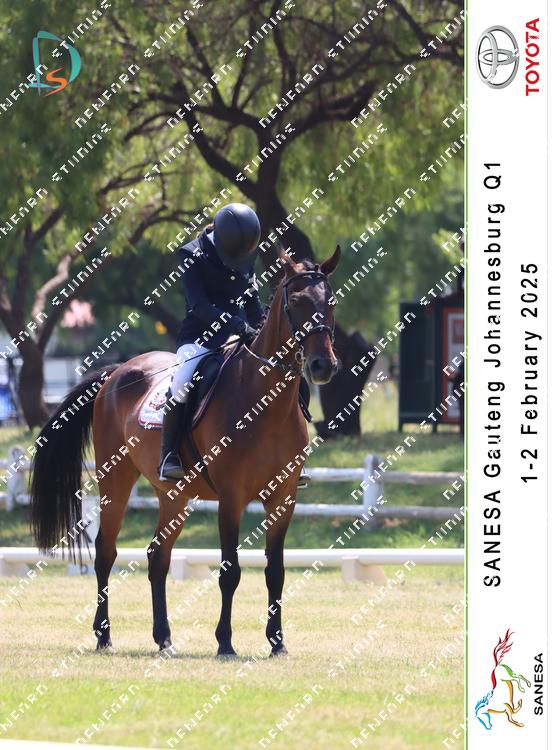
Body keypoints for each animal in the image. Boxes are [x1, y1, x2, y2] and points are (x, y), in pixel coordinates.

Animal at [30, 247, 340, 657]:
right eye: (297, 302)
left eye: (330, 302)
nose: (323, 366)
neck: (265, 400)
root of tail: (117, 372)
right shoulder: (231, 498)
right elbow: (230, 571)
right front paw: (225, 642)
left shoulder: (283, 497)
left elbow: (276, 571)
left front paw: (277, 643)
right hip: (115, 479)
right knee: (106, 551)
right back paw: (104, 635)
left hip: (174, 495)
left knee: (157, 557)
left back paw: (164, 638)